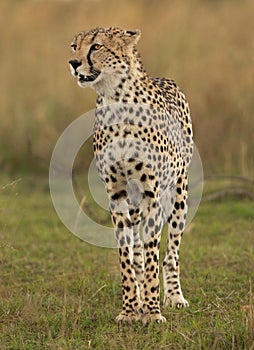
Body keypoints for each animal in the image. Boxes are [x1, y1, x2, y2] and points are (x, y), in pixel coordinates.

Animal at [69, 26, 192, 324]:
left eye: (96, 46)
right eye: (74, 46)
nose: (74, 63)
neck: (116, 100)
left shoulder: (152, 194)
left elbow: (152, 255)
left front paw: (152, 311)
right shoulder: (117, 193)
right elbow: (126, 254)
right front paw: (129, 310)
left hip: (179, 194)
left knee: (171, 252)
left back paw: (174, 297)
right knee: (138, 251)